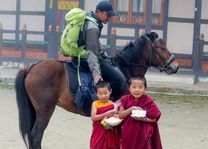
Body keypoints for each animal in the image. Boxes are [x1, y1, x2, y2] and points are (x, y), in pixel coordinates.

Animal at [15, 31, 179, 149]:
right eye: (162, 48)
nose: (175, 66)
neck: (125, 69)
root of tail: (31, 68)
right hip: (45, 109)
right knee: (36, 134)